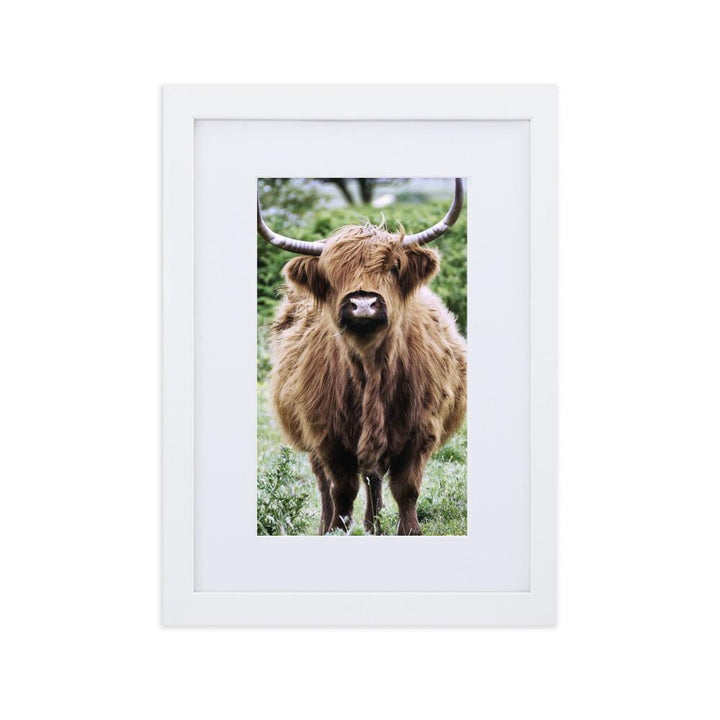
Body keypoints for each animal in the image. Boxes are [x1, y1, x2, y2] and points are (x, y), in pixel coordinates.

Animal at [258, 179, 467, 535]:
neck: (372, 369)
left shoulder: (421, 432)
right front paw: (337, 530)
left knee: (374, 477)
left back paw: (374, 524)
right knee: (326, 484)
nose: (363, 304)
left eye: (393, 267)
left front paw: (409, 530)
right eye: (332, 273)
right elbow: (341, 490)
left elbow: (406, 488)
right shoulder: (326, 436)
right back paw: (333, 526)